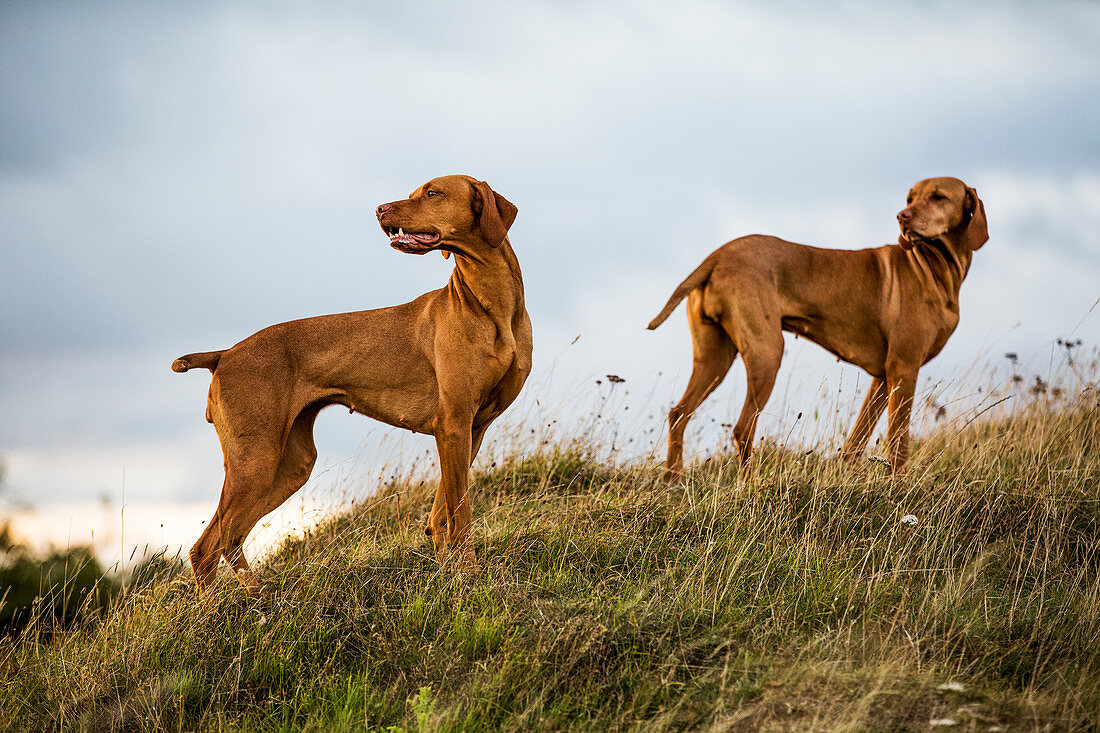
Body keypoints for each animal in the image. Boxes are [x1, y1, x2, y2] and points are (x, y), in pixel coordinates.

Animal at [173, 177, 534, 594]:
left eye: (431, 193)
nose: (380, 209)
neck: (492, 303)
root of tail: (224, 354)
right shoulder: (454, 424)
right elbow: (460, 511)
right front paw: (469, 576)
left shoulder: (471, 428)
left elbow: (442, 511)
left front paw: (448, 568)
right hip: (255, 462)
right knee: (207, 546)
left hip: (290, 465)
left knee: (230, 537)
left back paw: (257, 597)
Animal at [642, 174, 990, 477]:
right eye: (911, 198)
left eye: (938, 197)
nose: (901, 216)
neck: (934, 268)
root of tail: (716, 255)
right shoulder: (904, 367)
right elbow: (899, 438)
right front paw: (899, 483)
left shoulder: (883, 376)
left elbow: (857, 439)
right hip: (767, 353)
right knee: (743, 427)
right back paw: (750, 486)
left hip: (714, 358)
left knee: (678, 413)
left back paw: (673, 480)